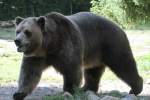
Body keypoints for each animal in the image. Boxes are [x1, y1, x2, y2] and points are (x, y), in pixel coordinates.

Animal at [13, 11, 142, 99]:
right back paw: (87, 88)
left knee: (123, 64)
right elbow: (29, 73)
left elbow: (71, 69)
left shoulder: (66, 45)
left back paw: (135, 88)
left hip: (111, 43)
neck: (48, 45)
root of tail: (118, 26)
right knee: (92, 72)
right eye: (18, 31)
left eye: (27, 32)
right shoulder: (36, 56)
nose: (17, 41)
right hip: (95, 53)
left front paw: (68, 90)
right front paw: (19, 93)